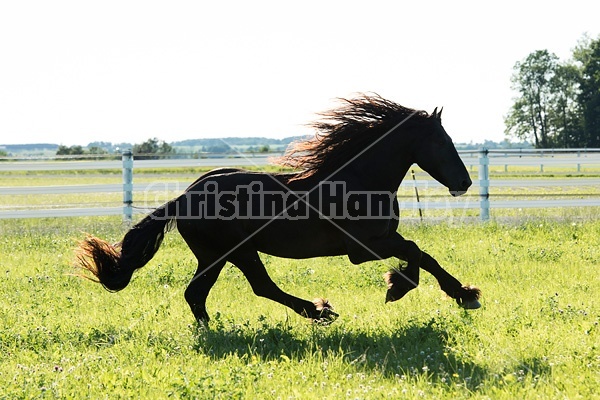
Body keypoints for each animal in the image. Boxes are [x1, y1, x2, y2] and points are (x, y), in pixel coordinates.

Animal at [77, 94, 480, 324]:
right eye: (441, 141)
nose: (464, 182)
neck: (359, 179)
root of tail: (182, 198)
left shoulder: (380, 241)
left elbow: (416, 255)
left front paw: (398, 285)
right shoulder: (363, 248)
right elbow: (420, 253)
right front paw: (464, 294)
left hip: (215, 255)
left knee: (198, 293)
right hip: (235, 250)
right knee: (259, 286)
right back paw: (320, 312)